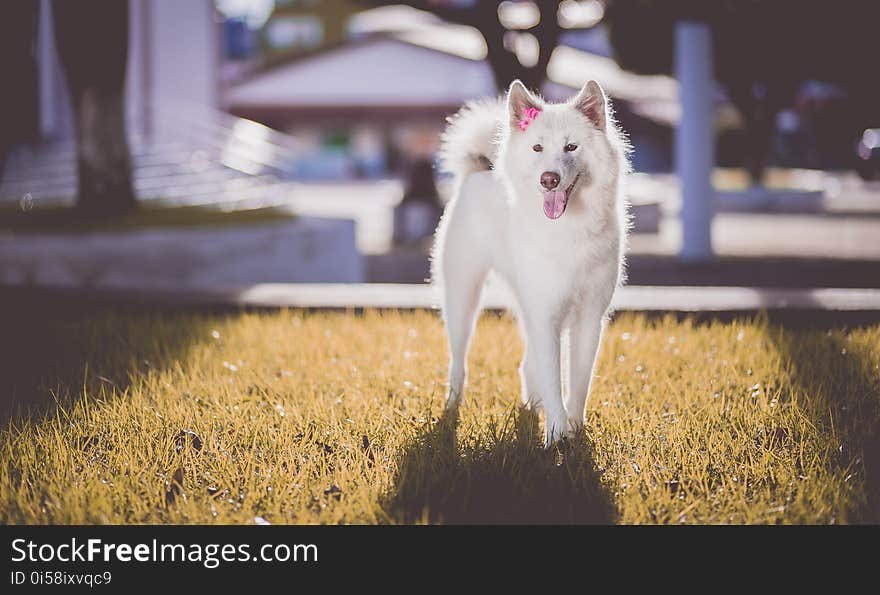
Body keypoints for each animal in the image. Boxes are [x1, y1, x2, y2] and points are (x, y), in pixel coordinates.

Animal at [432, 79, 624, 448]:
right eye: (537, 148)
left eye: (571, 147)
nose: (549, 179)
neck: (568, 228)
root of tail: (481, 169)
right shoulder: (546, 315)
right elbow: (553, 380)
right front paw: (556, 436)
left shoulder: (589, 318)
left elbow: (579, 383)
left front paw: (574, 432)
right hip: (463, 298)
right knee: (458, 362)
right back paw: (451, 408)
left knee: (527, 364)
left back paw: (532, 405)